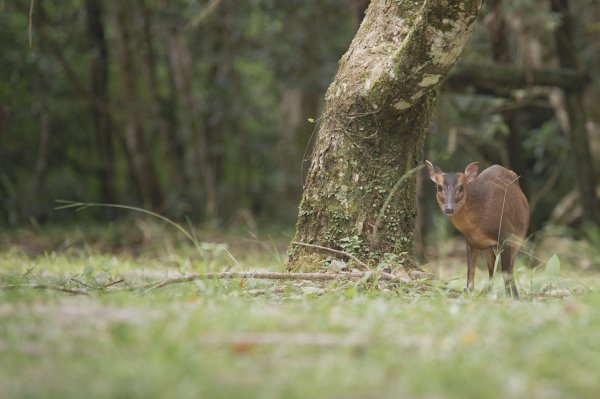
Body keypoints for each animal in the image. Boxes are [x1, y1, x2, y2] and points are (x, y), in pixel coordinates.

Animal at [424, 161, 528, 298]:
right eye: (439, 187)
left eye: (461, 188)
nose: (449, 208)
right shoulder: (470, 241)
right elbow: (471, 270)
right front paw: (469, 291)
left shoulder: (506, 234)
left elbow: (506, 271)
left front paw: (511, 297)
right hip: (488, 248)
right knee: (492, 269)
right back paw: (489, 293)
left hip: (518, 238)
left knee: (509, 268)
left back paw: (513, 295)